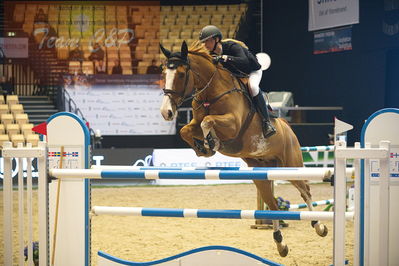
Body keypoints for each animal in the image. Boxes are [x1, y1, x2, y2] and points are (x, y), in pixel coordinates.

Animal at [159, 40, 328, 256]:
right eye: (164, 72)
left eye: (181, 74)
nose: (166, 112)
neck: (211, 91)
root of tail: (289, 129)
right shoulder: (195, 123)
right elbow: (186, 130)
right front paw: (203, 148)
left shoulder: (233, 125)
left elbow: (208, 121)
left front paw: (211, 142)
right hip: (261, 174)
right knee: (273, 203)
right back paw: (280, 243)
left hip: (291, 165)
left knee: (305, 191)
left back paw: (319, 226)